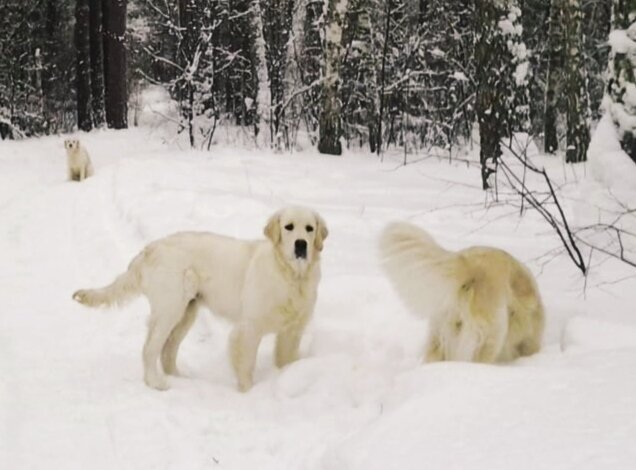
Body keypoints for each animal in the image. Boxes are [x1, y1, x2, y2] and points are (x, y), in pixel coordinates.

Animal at [73, 207, 328, 392]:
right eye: (289, 227)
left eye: (309, 228)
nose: (301, 244)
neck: (291, 275)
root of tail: (150, 248)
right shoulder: (248, 329)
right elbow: (246, 366)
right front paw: (248, 393)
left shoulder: (292, 330)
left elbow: (287, 360)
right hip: (170, 308)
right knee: (150, 349)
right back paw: (156, 383)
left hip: (187, 312)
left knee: (168, 351)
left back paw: (180, 378)